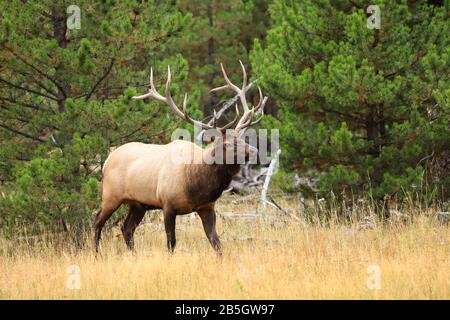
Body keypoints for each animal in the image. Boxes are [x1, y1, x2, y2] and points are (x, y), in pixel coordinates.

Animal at [93, 61, 266, 254]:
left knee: (126, 228)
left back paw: (133, 254)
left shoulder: (207, 207)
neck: (197, 185)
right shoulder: (167, 204)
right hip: (111, 195)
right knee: (98, 221)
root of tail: (107, 160)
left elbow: (216, 243)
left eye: (243, 138)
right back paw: (97, 253)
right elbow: (171, 243)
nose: (254, 150)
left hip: (138, 203)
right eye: (227, 144)